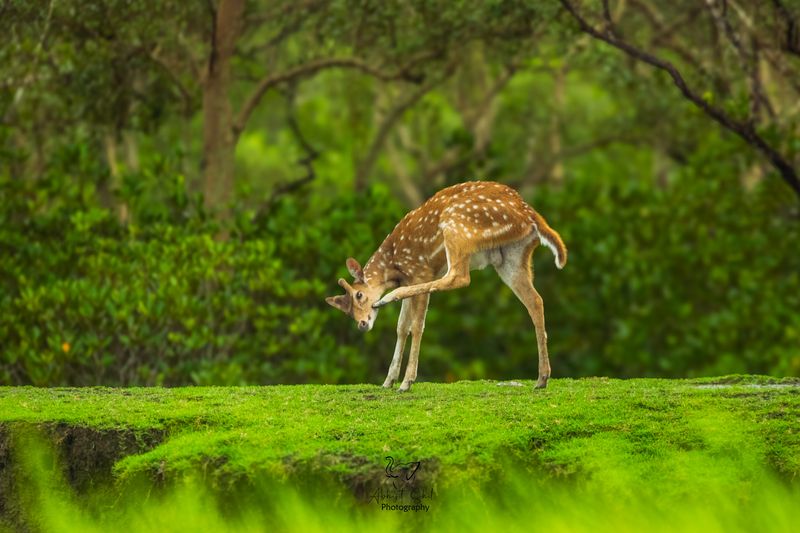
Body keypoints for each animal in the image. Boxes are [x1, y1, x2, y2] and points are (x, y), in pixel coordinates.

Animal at [326, 181, 567, 392]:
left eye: (359, 295)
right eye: (347, 311)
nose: (362, 324)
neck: (393, 266)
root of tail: (531, 215)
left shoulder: (419, 272)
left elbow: (416, 326)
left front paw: (406, 382)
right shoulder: (410, 278)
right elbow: (401, 327)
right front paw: (388, 381)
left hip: (456, 225)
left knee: (460, 277)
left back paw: (389, 297)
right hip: (511, 257)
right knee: (535, 301)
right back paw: (542, 378)